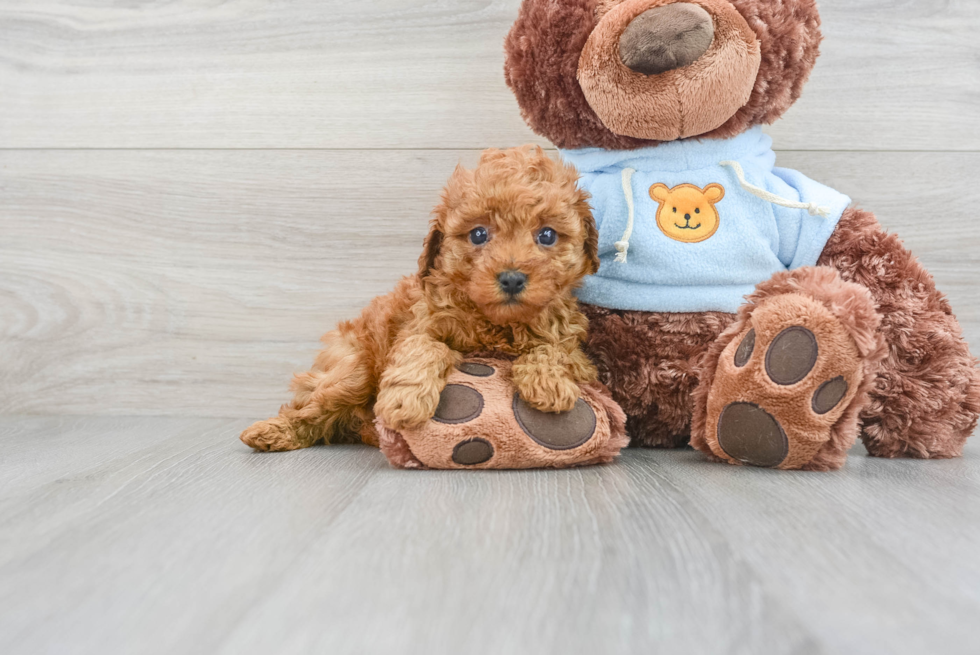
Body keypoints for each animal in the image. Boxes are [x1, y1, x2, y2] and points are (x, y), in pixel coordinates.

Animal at [244, 147, 628, 468]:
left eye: (547, 235)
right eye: (478, 234)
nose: (512, 279)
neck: (496, 322)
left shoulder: (576, 349)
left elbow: (554, 350)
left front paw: (547, 383)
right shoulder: (419, 322)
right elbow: (423, 347)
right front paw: (405, 400)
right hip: (353, 369)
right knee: (313, 408)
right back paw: (272, 431)